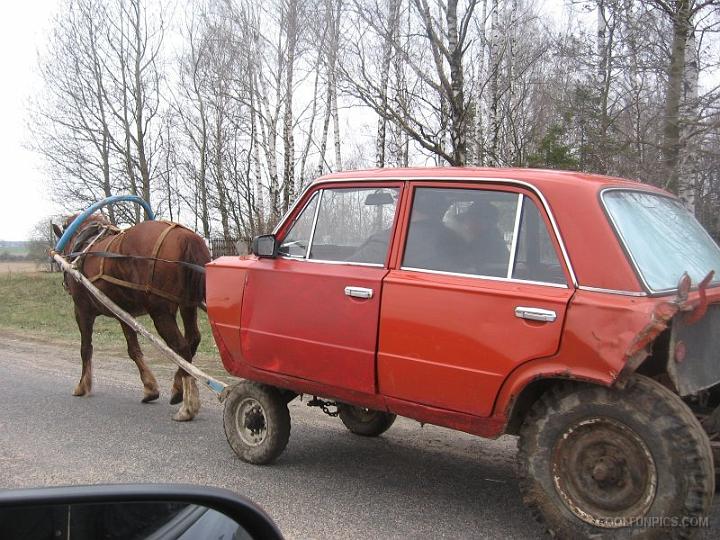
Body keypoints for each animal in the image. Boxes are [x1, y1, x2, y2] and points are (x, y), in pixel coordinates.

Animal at [53, 212, 211, 422]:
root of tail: (186, 237)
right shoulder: (123, 312)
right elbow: (133, 349)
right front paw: (150, 389)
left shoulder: (82, 310)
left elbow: (85, 348)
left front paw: (82, 386)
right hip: (188, 304)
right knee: (192, 340)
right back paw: (178, 389)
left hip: (160, 311)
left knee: (181, 348)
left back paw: (188, 406)